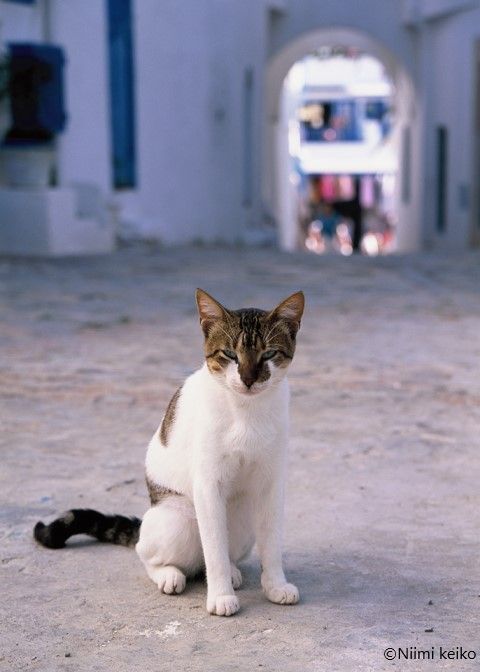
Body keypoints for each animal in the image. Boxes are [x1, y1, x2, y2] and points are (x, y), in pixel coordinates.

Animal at [34, 288, 305, 617]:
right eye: (229, 355)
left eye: (268, 354)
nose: (249, 379)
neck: (246, 412)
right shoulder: (208, 484)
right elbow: (213, 549)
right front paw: (220, 596)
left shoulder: (271, 482)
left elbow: (271, 543)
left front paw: (276, 586)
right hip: (180, 520)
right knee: (152, 552)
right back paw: (170, 575)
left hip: (242, 525)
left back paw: (231, 571)